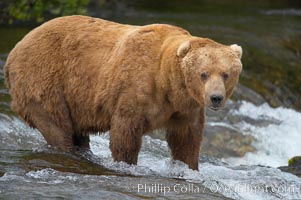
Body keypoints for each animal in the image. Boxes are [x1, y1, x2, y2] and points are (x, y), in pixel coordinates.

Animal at [4, 15, 241, 170]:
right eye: (203, 74)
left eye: (225, 74)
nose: (216, 98)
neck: (167, 82)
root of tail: (14, 51)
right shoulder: (135, 89)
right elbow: (126, 133)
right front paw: (127, 164)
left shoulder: (185, 108)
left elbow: (186, 138)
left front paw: (188, 167)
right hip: (44, 81)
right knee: (57, 126)